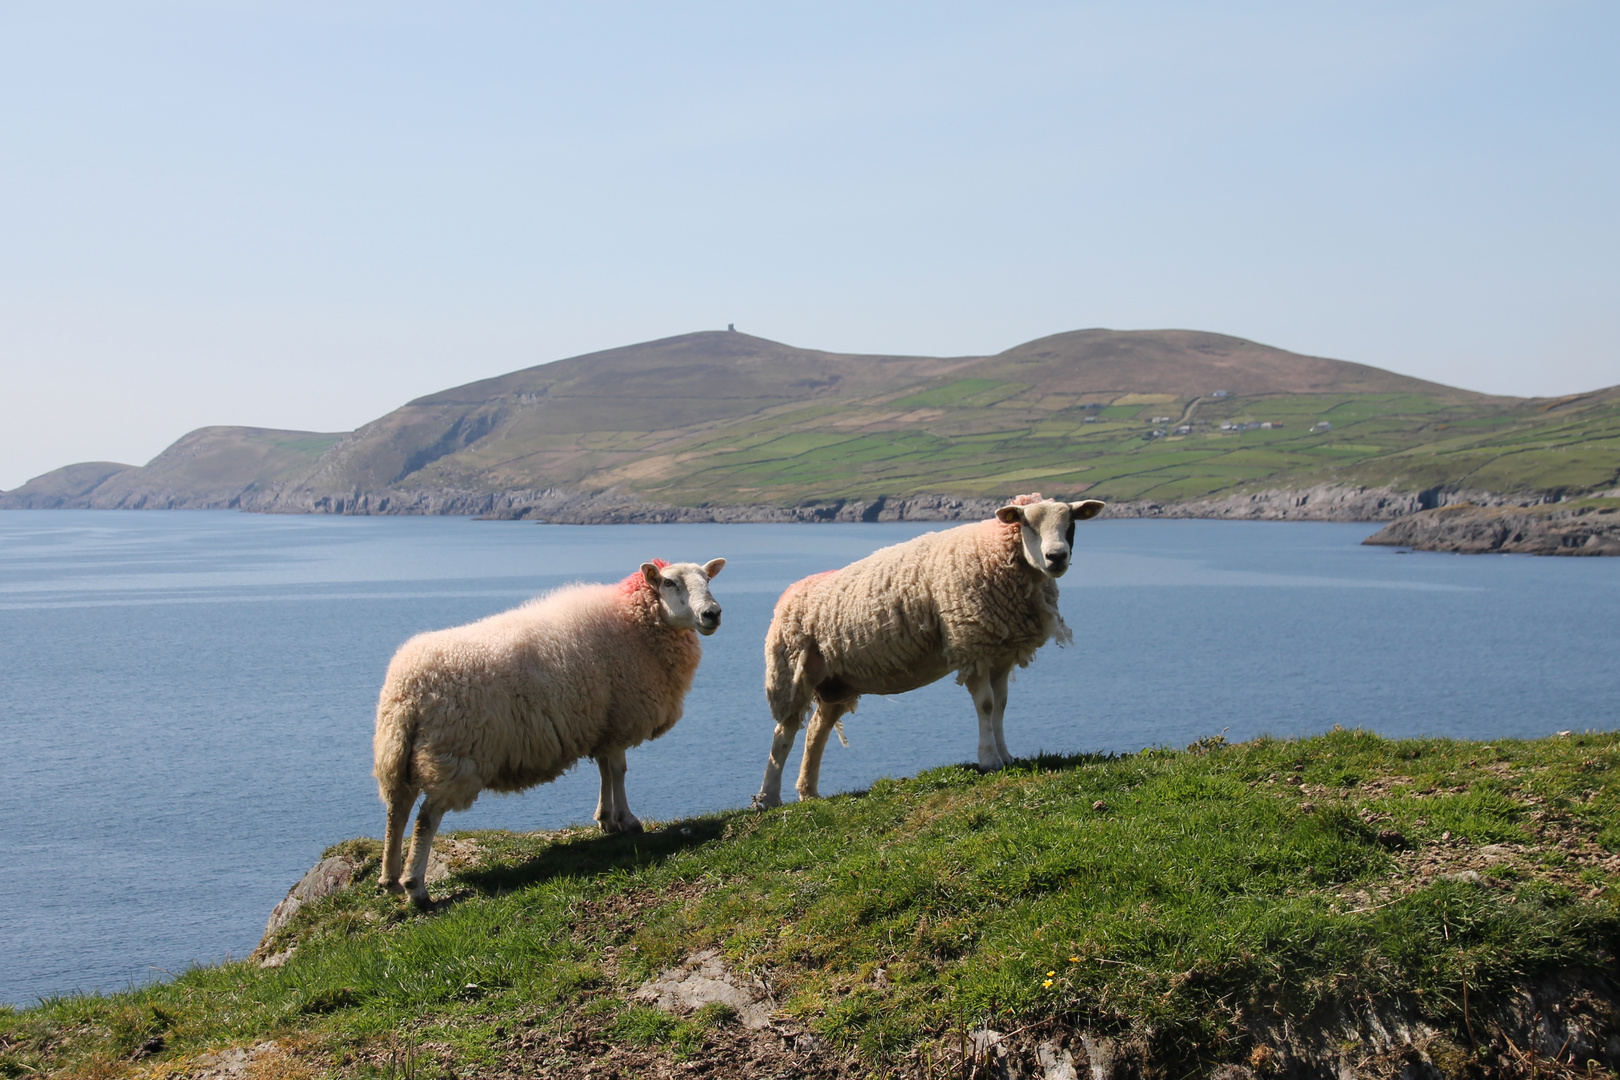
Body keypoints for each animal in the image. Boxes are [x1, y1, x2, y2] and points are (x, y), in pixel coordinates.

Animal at [372, 557, 729, 906]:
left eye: (707, 580)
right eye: (669, 583)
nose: (713, 613)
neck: (635, 623)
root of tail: (407, 687)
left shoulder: (602, 722)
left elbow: (605, 771)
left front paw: (606, 818)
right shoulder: (619, 719)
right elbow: (618, 771)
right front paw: (626, 820)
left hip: (398, 753)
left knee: (396, 811)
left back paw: (389, 879)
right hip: (455, 753)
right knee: (425, 818)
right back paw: (416, 888)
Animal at [751, 495, 1108, 806]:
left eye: (1071, 523)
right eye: (1026, 524)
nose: (1056, 557)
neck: (996, 555)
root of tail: (789, 592)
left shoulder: (1000, 652)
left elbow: (1002, 706)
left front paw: (1006, 755)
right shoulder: (971, 644)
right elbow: (987, 705)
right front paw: (988, 760)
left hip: (835, 683)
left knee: (816, 731)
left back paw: (808, 792)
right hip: (790, 673)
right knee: (783, 734)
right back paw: (768, 798)